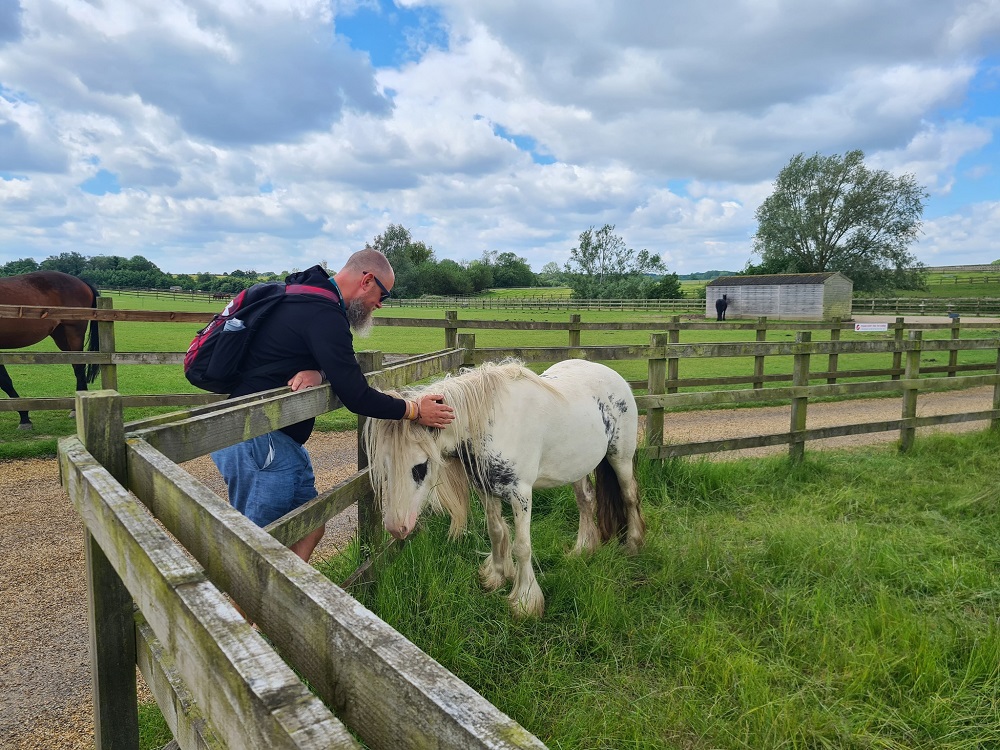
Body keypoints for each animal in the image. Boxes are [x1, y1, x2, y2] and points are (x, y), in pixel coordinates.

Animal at [0, 271, 101, 429]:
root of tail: (81, 281)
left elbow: (4, 381)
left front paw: (24, 418)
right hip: (61, 336)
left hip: (74, 332)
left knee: (79, 368)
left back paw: (75, 409)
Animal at [363, 358, 646, 618]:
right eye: (384, 466)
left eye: (421, 467)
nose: (397, 528)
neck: (492, 423)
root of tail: (611, 374)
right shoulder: (486, 490)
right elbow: (496, 531)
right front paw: (496, 576)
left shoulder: (521, 494)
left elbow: (522, 546)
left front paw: (525, 601)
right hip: (578, 465)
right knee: (586, 501)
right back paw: (582, 550)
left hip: (620, 457)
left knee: (629, 496)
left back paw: (633, 545)